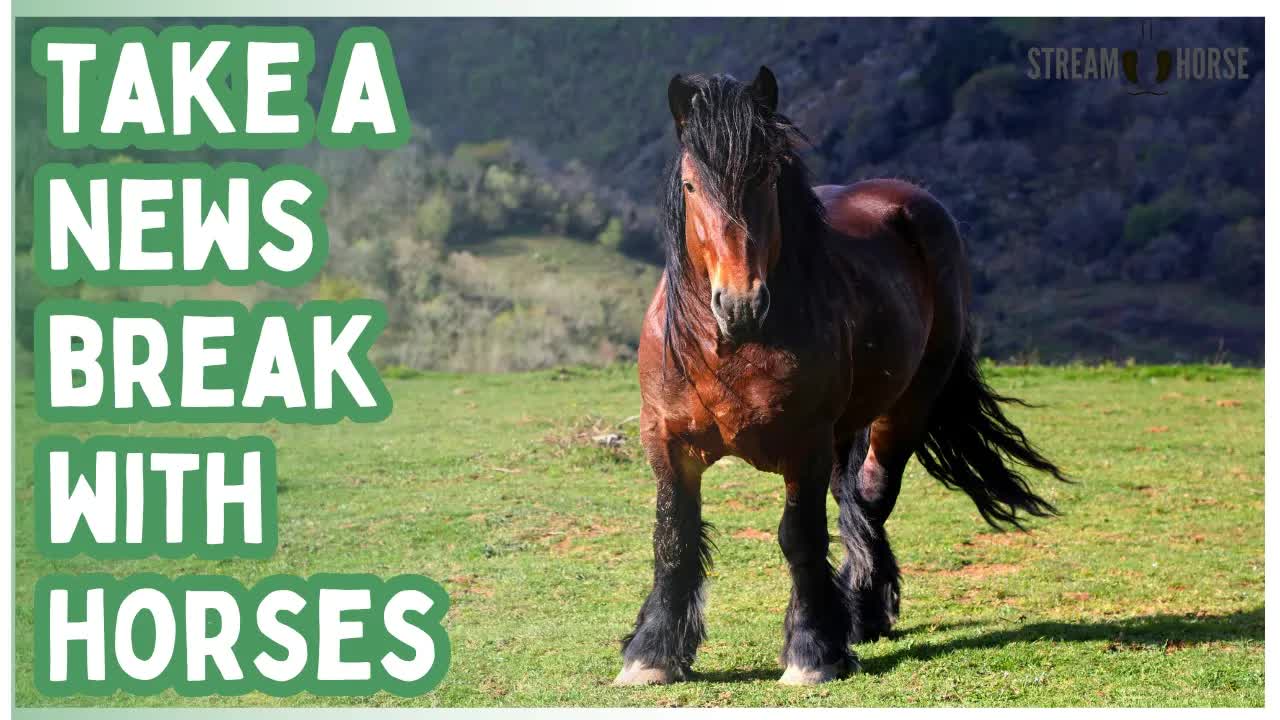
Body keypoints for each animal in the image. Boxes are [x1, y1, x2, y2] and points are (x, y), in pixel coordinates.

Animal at [615, 66, 1069, 687]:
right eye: (689, 187)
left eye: (767, 177)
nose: (740, 304)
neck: (728, 349)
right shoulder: (667, 442)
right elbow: (674, 537)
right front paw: (652, 653)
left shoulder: (803, 446)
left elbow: (800, 538)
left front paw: (813, 651)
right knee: (851, 498)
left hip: (904, 408)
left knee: (872, 497)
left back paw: (859, 614)